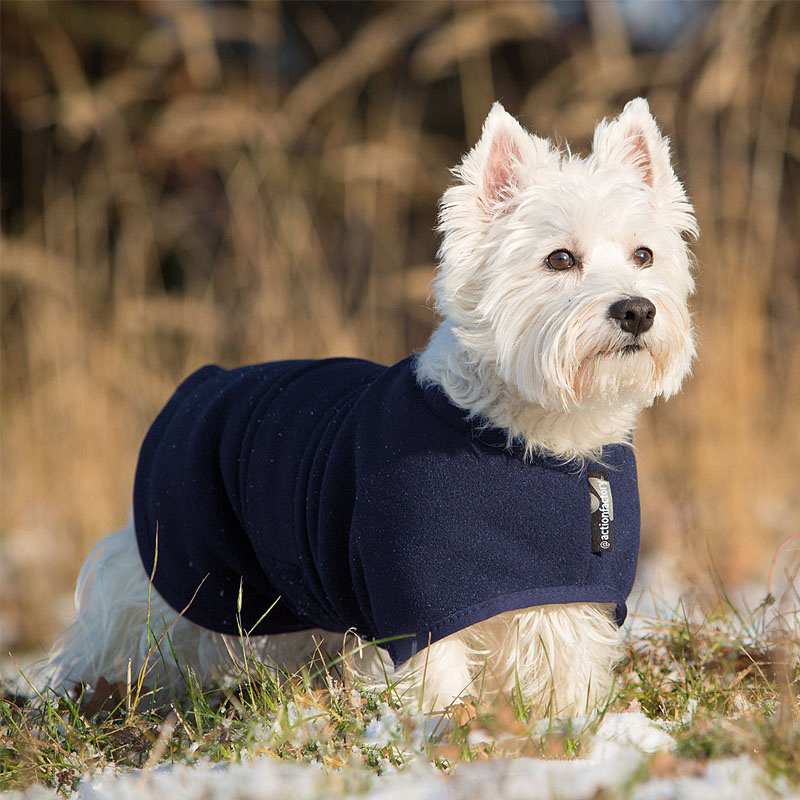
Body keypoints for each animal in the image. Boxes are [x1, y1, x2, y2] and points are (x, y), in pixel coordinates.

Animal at [43, 97, 696, 716]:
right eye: (560, 258)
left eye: (644, 255)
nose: (637, 310)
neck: (537, 439)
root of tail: (200, 382)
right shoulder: (419, 604)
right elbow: (438, 682)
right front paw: (443, 732)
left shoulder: (569, 595)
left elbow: (566, 672)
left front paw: (568, 729)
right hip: (179, 565)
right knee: (120, 633)